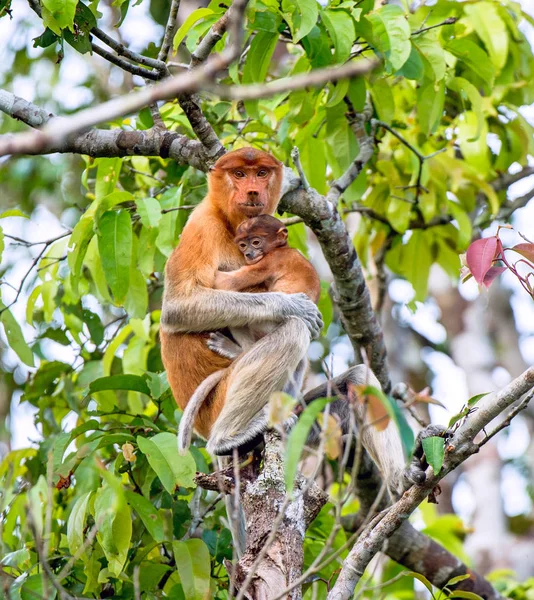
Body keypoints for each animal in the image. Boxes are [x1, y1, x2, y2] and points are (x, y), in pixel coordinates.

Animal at [179, 213, 322, 452]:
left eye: (256, 242)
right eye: (243, 244)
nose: (248, 254)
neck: (283, 247)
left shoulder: (268, 262)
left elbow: (226, 282)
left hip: (265, 323)